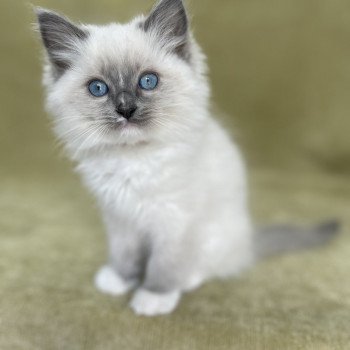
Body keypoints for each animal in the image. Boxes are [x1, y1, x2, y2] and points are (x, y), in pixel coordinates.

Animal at [36, 0, 340, 318]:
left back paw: (188, 280)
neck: (134, 157)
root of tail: (249, 240)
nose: (125, 109)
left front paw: (153, 298)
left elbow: (164, 265)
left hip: (215, 236)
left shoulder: (175, 221)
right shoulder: (121, 218)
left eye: (148, 81)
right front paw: (119, 280)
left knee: (211, 266)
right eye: (98, 88)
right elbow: (125, 254)